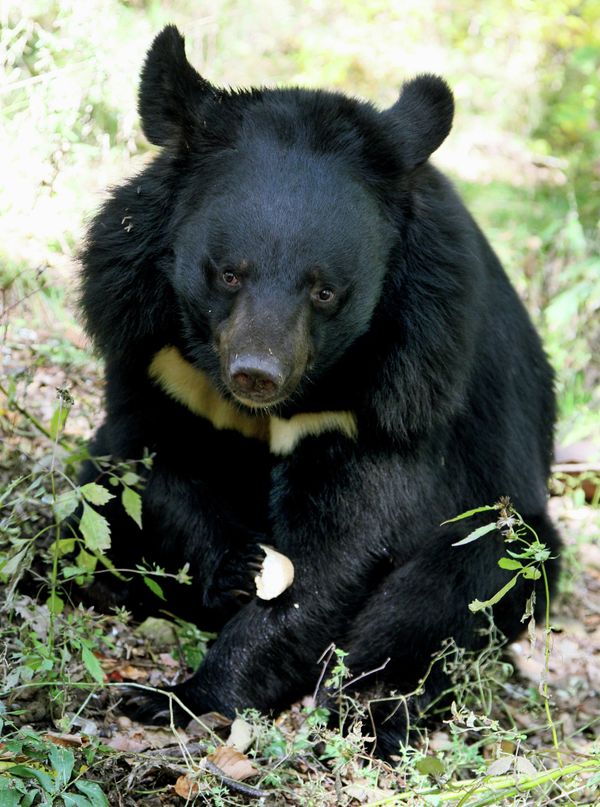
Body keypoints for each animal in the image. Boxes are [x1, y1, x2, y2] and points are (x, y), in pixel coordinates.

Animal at [78, 25, 561, 755]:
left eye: (325, 290)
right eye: (228, 273)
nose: (256, 371)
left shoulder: (399, 392)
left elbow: (339, 553)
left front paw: (177, 697)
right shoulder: (152, 348)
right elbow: (147, 462)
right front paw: (238, 566)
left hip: (506, 528)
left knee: (437, 600)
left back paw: (369, 712)